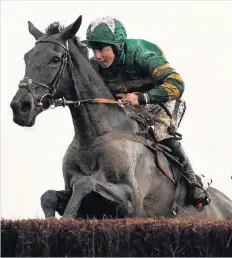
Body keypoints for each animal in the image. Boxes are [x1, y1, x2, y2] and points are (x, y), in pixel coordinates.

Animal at [10, 15, 232, 220]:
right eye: (26, 58)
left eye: (55, 59)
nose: (20, 107)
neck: (92, 136)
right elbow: (48, 195)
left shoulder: (132, 202)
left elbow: (85, 182)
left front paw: (66, 217)